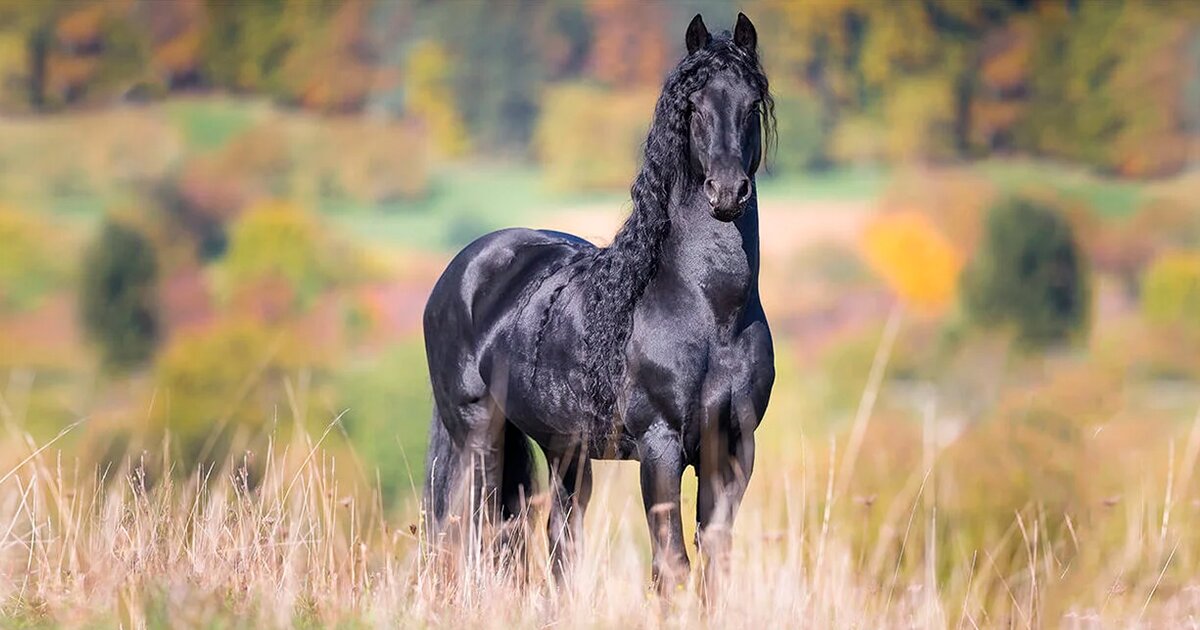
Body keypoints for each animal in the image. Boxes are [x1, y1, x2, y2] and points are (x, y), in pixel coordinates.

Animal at [422, 11, 777, 590]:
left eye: (751, 103)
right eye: (693, 106)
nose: (727, 192)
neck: (710, 314)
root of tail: (464, 269)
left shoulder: (732, 450)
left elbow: (713, 562)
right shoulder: (660, 447)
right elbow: (671, 565)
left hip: (564, 450)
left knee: (557, 538)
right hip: (477, 438)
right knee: (469, 531)